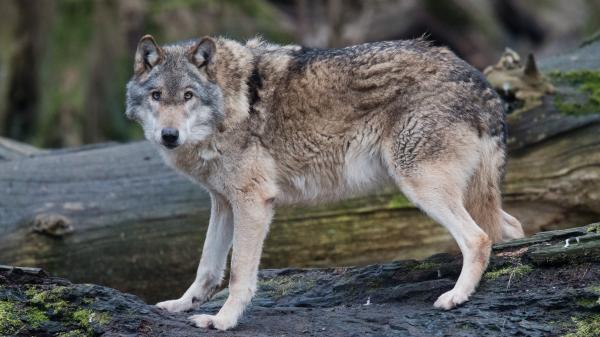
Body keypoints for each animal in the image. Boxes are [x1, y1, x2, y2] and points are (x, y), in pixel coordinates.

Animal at [125, 35, 524, 330]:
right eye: (157, 96)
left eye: (188, 96)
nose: (169, 135)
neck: (228, 104)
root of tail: (483, 84)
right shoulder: (223, 202)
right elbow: (207, 268)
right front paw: (181, 305)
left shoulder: (253, 202)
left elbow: (238, 273)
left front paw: (223, 321)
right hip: (464, 194)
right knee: (512, 227)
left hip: (421, 186)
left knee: (479, 239)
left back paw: (456, 297)